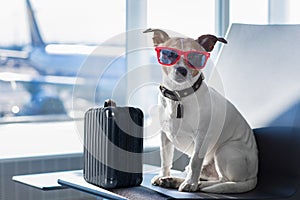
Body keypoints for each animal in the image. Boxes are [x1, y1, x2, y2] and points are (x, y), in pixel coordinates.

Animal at [143, 28, 258, 194]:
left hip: (225, 150)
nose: (182, 70)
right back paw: (173, 180)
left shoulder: (202, 137)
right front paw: (163, 175)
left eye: (195, 57)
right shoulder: (165, 136)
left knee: (224, 181)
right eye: (169, 54)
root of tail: (254, 175)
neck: (179, 97)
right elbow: (165, 159)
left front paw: (191, 184)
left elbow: (195, 161)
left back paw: (196, 185)